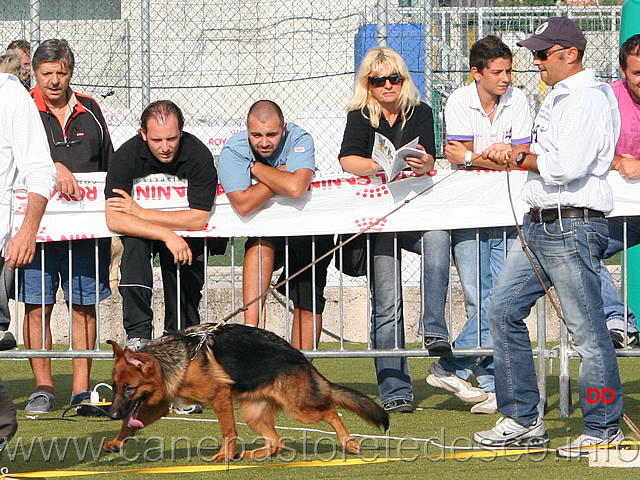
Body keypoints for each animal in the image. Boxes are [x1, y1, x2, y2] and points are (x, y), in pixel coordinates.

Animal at [104, 322, 390, 462]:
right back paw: (253, 454)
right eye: (115, 388)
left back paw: (348, 442)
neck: (179, 360)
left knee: (330, 409)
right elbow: (130, 425)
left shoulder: (220, 396)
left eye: (130, 388)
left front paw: (225, 455)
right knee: (276, 442)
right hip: (254, 413)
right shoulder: (159, 405)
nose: (112, 415)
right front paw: (117, 441)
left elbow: (228, 430)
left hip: (299, 409)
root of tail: (300, 358)